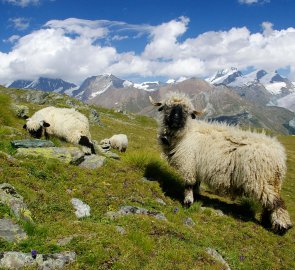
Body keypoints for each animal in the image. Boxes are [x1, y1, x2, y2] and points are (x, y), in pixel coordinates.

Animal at [150, 92, 294, 234]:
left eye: (186, 111)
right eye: (167, 107)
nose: (175, 120)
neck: (185, 134)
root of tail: (279, 155)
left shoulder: (188, 164)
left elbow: (189, 184)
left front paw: (188, 201)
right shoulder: (197, 167)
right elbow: (196, 184)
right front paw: (197, 196)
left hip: (259, 180)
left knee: (277, 202)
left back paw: (283, 227)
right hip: (271, 181)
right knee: (269, 202)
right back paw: (267, 221)